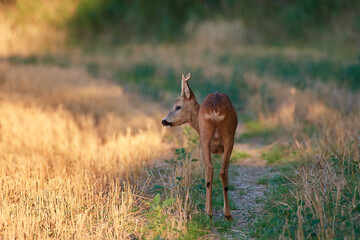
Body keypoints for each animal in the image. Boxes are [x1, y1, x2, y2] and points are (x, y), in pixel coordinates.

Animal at [162, 72, 238, 219]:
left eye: (178, 106)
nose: (164, 121)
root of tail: (214, 108)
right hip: (227, 138)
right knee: (221, 171)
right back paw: (225, 213)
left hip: (206, 139)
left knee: (210, 170)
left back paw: (210, 212)